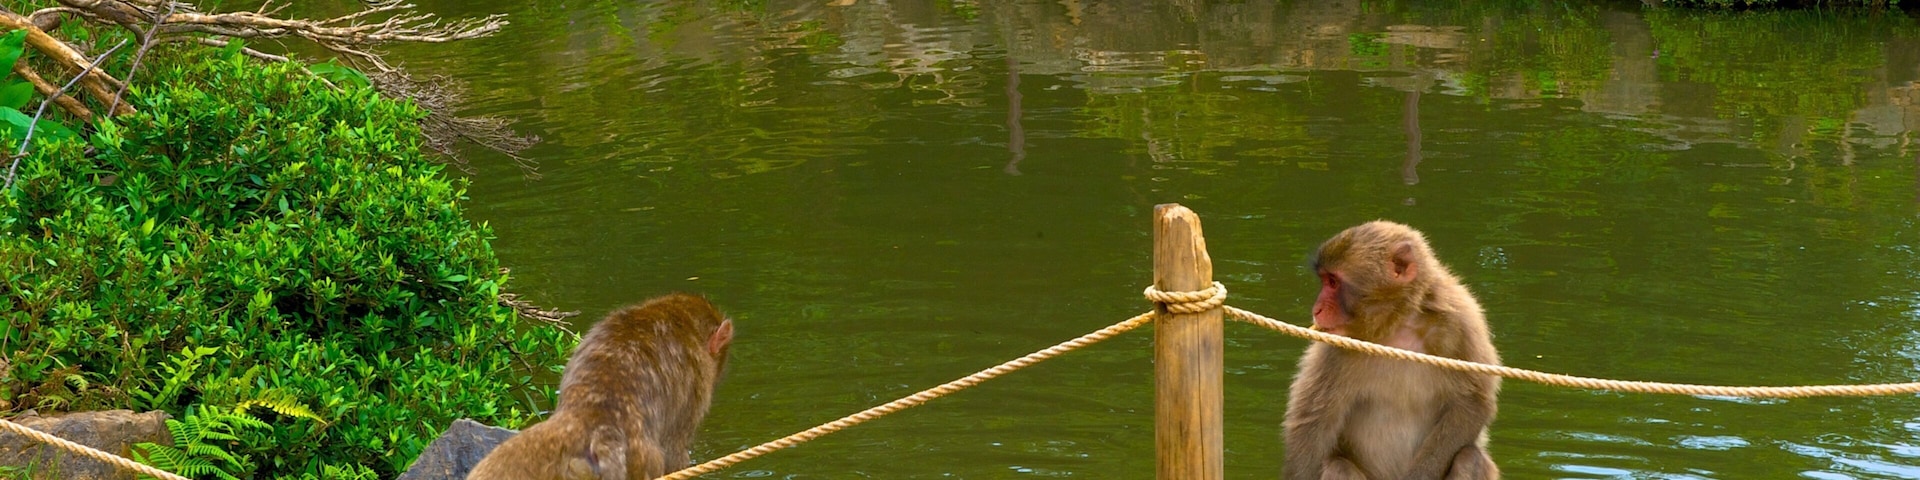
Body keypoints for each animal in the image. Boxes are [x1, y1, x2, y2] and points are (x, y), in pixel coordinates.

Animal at [1283, 221, 1500, 480]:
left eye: (1333, 282)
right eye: (1325, 280)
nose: (1316, 309)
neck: (1398, 323)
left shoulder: (1461, 324)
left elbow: (1472, 402)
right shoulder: (1334, 345)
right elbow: (1313, 421)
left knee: (1469, 456)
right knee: (1338, 466)